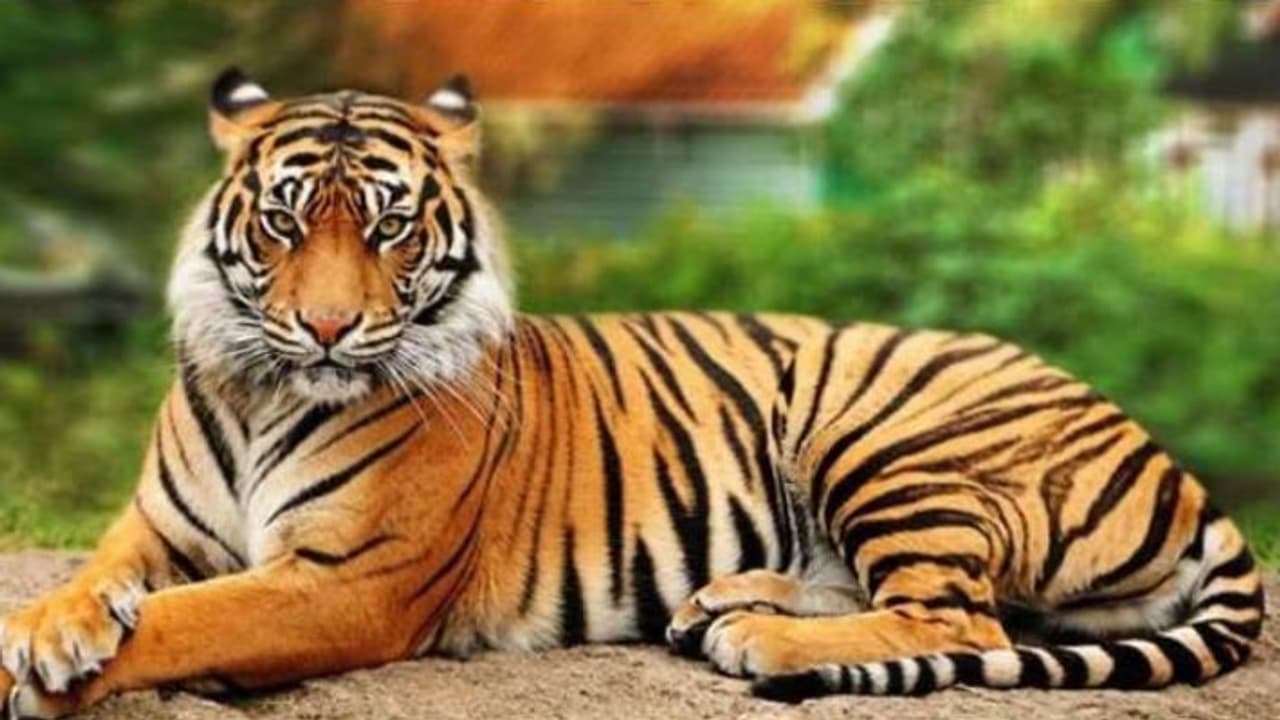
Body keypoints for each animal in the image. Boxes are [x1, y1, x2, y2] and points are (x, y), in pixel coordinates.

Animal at [0, 68, 1263, 717]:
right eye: (283, 220)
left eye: (390, 228)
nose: (324, 326)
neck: (265, 390)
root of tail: (1168, 458)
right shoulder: (157, 529)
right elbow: (96, 583)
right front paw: (53, 629)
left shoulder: (345, 581)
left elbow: (186, 620)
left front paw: (43, 672)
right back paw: (725, 603)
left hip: (885, 433)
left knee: (956, 614)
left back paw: (760, 640)